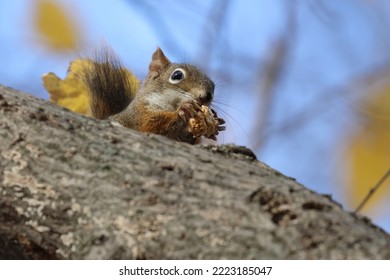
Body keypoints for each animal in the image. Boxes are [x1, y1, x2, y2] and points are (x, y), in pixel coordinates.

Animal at [83, 47, 225, 144]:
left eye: (213, 86)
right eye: (177, 75)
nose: (206, 96)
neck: (170, 106)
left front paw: (215, 124)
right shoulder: (138, 114)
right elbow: (149, 124)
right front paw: (184, 110)